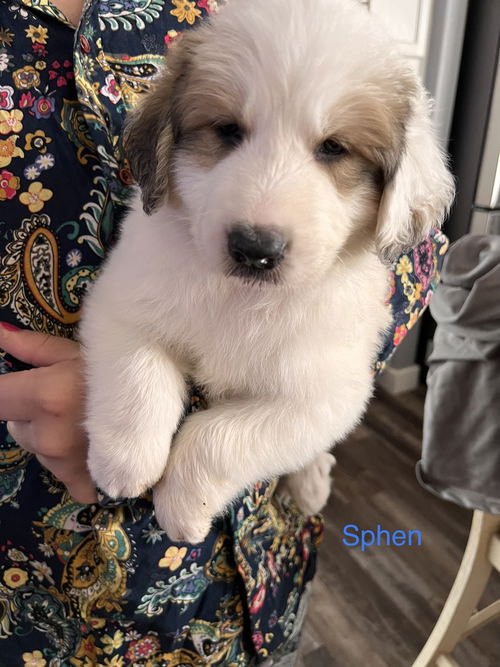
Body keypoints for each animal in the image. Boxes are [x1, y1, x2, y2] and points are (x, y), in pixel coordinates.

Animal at [80, 0, 456, 544]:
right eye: (227, 131)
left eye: (334, 148)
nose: (254, 249)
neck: (241, 296)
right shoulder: (119, 301)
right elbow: (139, 373)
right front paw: (124, 460)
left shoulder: (325, 398)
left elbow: (218, 436)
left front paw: (183, 505)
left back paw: (312, 482)